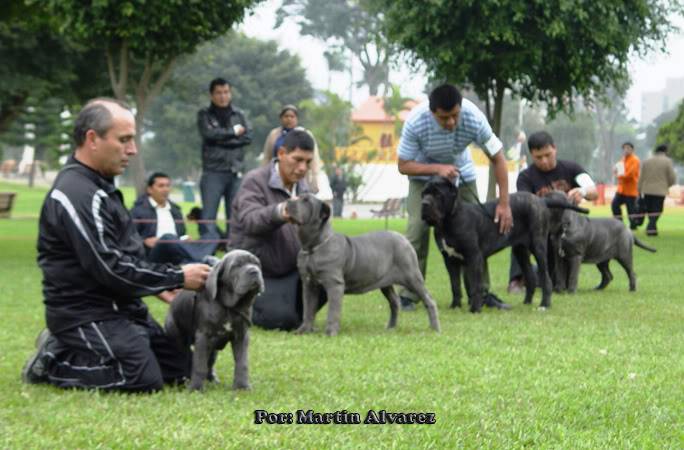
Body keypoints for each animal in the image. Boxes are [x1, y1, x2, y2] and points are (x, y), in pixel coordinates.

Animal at [163, 250, 264, 390]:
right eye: (236, 266)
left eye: (257, 264)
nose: (254, 271)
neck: (229, 306)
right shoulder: (203, 336)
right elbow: (199, 364)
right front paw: (196, 388)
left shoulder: (241, 336)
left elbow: (242, 362)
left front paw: (242, 387)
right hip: (177, 337)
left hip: (213, 348)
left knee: (209, 362)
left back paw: (212, 379)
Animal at [284, 195, 440, 336]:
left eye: (306, 201)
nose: (287, 202)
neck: (313, 248)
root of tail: (403, 238)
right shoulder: (309, 285)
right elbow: (308, 310)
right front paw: (303, 330)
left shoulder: (334, 285)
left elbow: (333, 311)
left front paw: (330, 333)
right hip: (386, 284)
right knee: (395, 302)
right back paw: (391, 327)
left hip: (412, 277)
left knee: (429, 301)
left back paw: (435, 329)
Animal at [420, 177, 584, 312]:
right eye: (424, 193)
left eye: (438, 194)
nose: (424, 204)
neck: (448, 222)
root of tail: (541, 200)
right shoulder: (449, 260)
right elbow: (455, 285)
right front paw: (455, 306)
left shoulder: (474, 257)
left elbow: (476, 285)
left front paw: (475, 309)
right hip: (520, 251)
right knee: (531, 278)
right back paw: (526, 302)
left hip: (538, 247)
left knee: (545, 278)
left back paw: (544, 305)